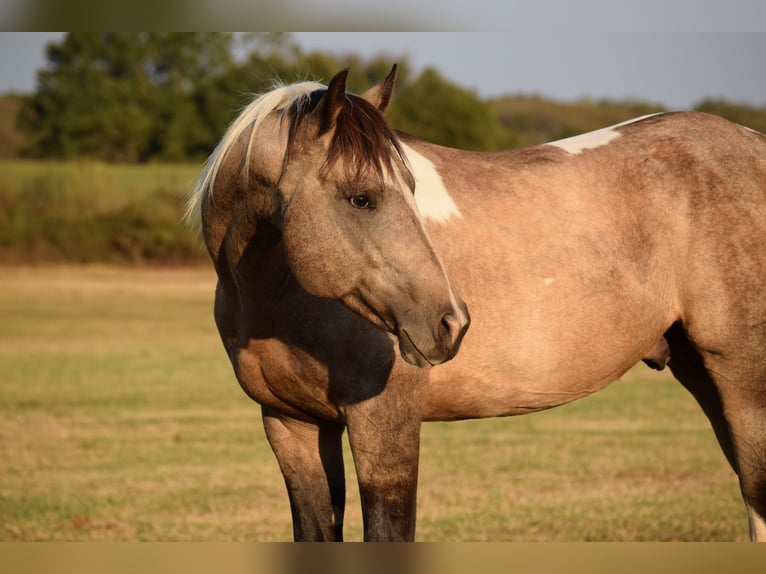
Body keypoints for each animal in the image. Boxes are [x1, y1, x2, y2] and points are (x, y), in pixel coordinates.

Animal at [187, 66, 766, 541]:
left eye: (411, 188)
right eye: (361, 197)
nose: (451, 323)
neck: (276, 295)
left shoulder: (384, 424)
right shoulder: (291, 425)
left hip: (744, 385)